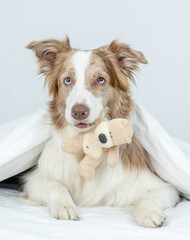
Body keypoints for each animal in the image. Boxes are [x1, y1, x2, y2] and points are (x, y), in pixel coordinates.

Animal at [23, 37, 179, 227]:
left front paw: (148, 212)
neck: (86, 141)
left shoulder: (165, 188)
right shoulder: (35, 179)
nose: (79, 112)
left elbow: (143, 199)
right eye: (67, 80)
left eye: (100, 80)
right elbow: (56, 185)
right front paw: (64, 206)